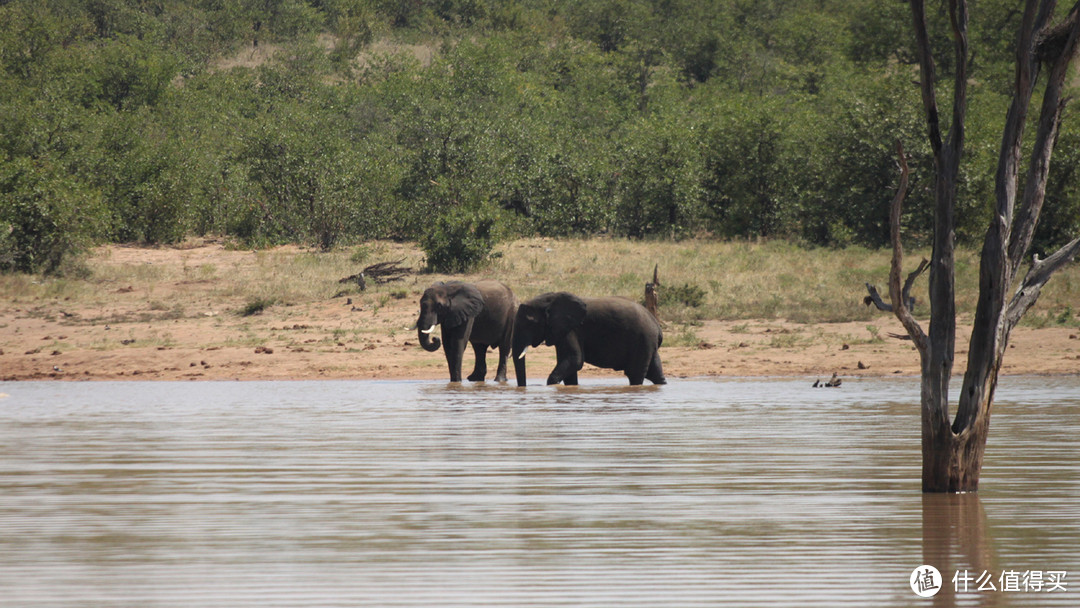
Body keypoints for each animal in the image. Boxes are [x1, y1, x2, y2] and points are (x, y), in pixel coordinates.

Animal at [507, 291, 665, 388]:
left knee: (635, 374)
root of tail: (657, 326)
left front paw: (552, 384)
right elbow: (570, 365)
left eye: (529, 323)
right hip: (648, 343)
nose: (523, 388)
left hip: (643, 340)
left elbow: (575, 359)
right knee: (655, 373)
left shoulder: (572, 329)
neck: (550, 299)